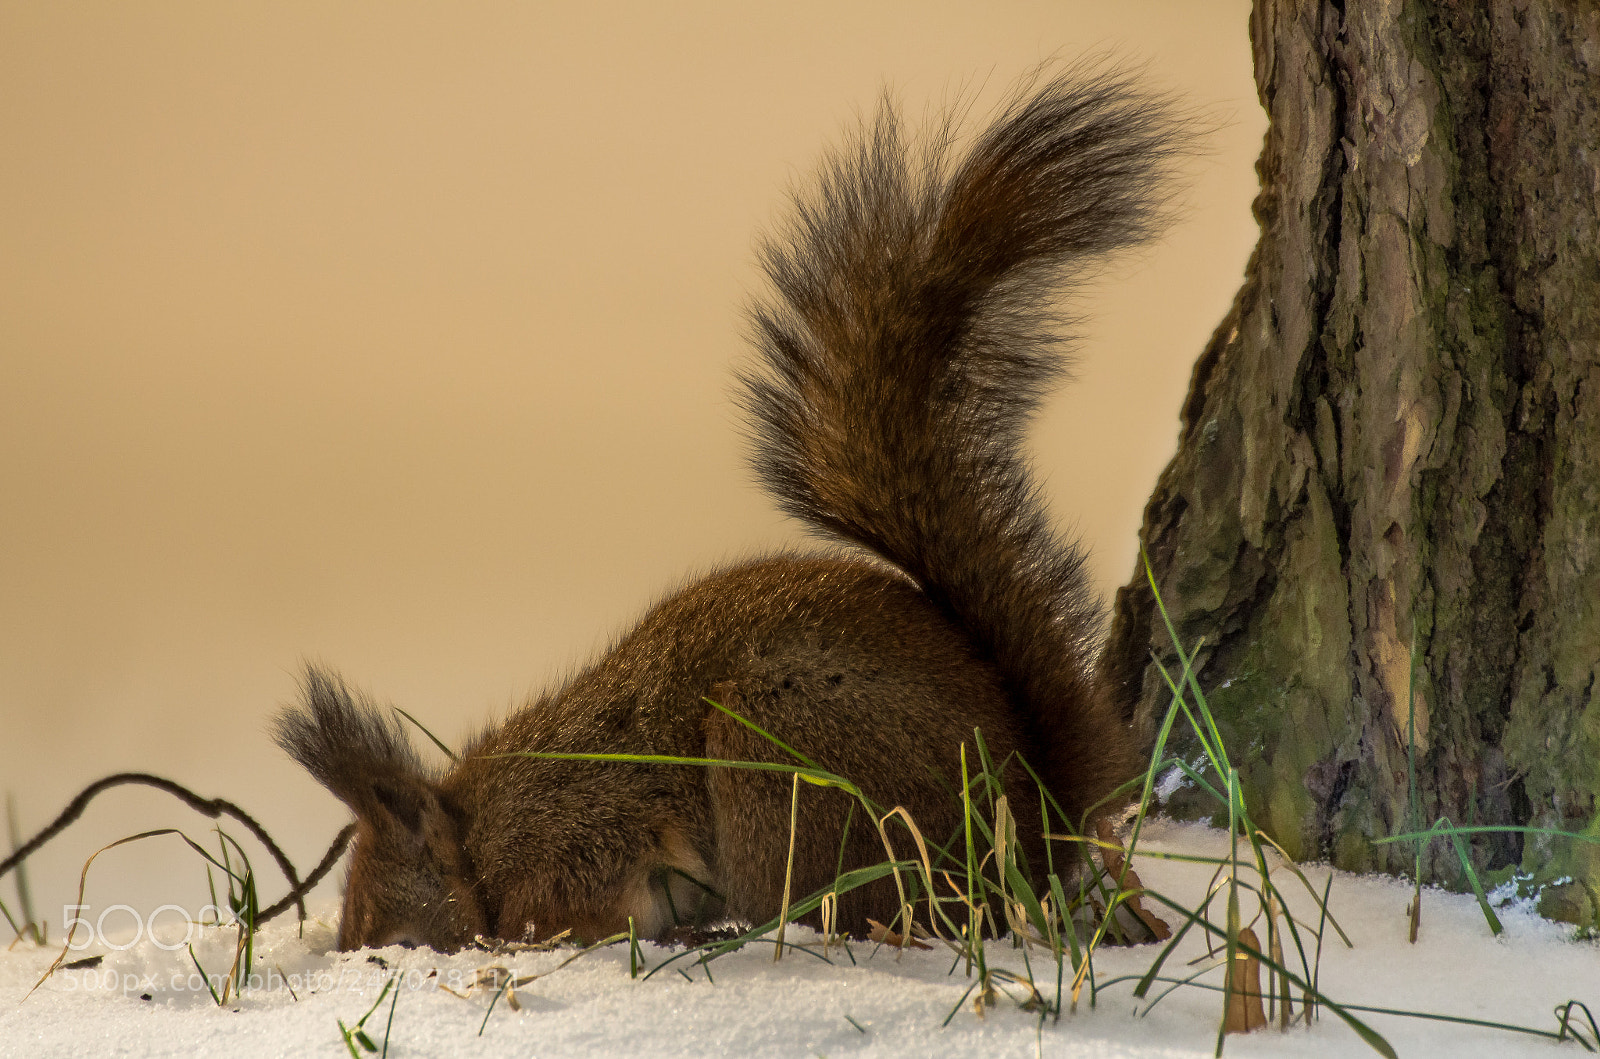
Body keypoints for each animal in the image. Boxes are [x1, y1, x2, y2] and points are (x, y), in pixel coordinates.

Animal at [274, 67, 1178, 952]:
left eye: (390, 934)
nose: (352, 952)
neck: (480, 831)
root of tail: (1027, 833)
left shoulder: (577, 835)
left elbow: (584, 906)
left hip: (775, 747)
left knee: (872, 908)